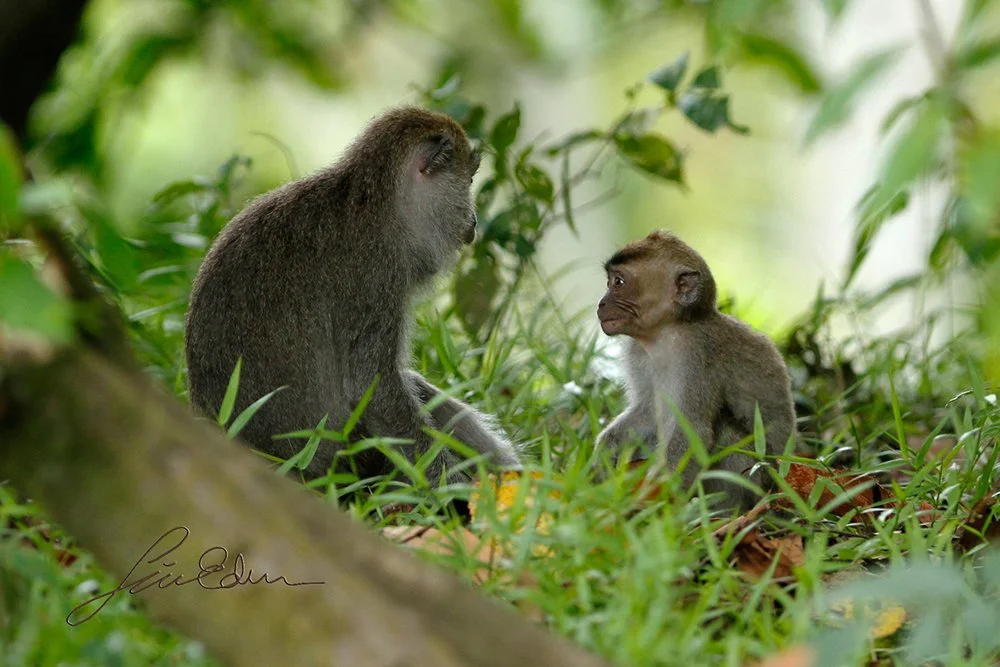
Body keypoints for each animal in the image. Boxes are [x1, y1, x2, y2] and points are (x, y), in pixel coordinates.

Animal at [184, 106, 521, 487]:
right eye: (469, 181)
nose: (474, 219)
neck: (377, 204)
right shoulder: (377, 274)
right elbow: (374, 391)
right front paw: (451, 491)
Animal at [595, 230, 795, 511]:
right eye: (610, 281)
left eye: (619, 282)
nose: (602, 303)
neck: (666, 332)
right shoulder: (637, 352)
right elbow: (648, 411)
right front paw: (604, 451)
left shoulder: (697, 356)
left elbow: (692, 430)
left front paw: (647, 505)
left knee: (726, 430)